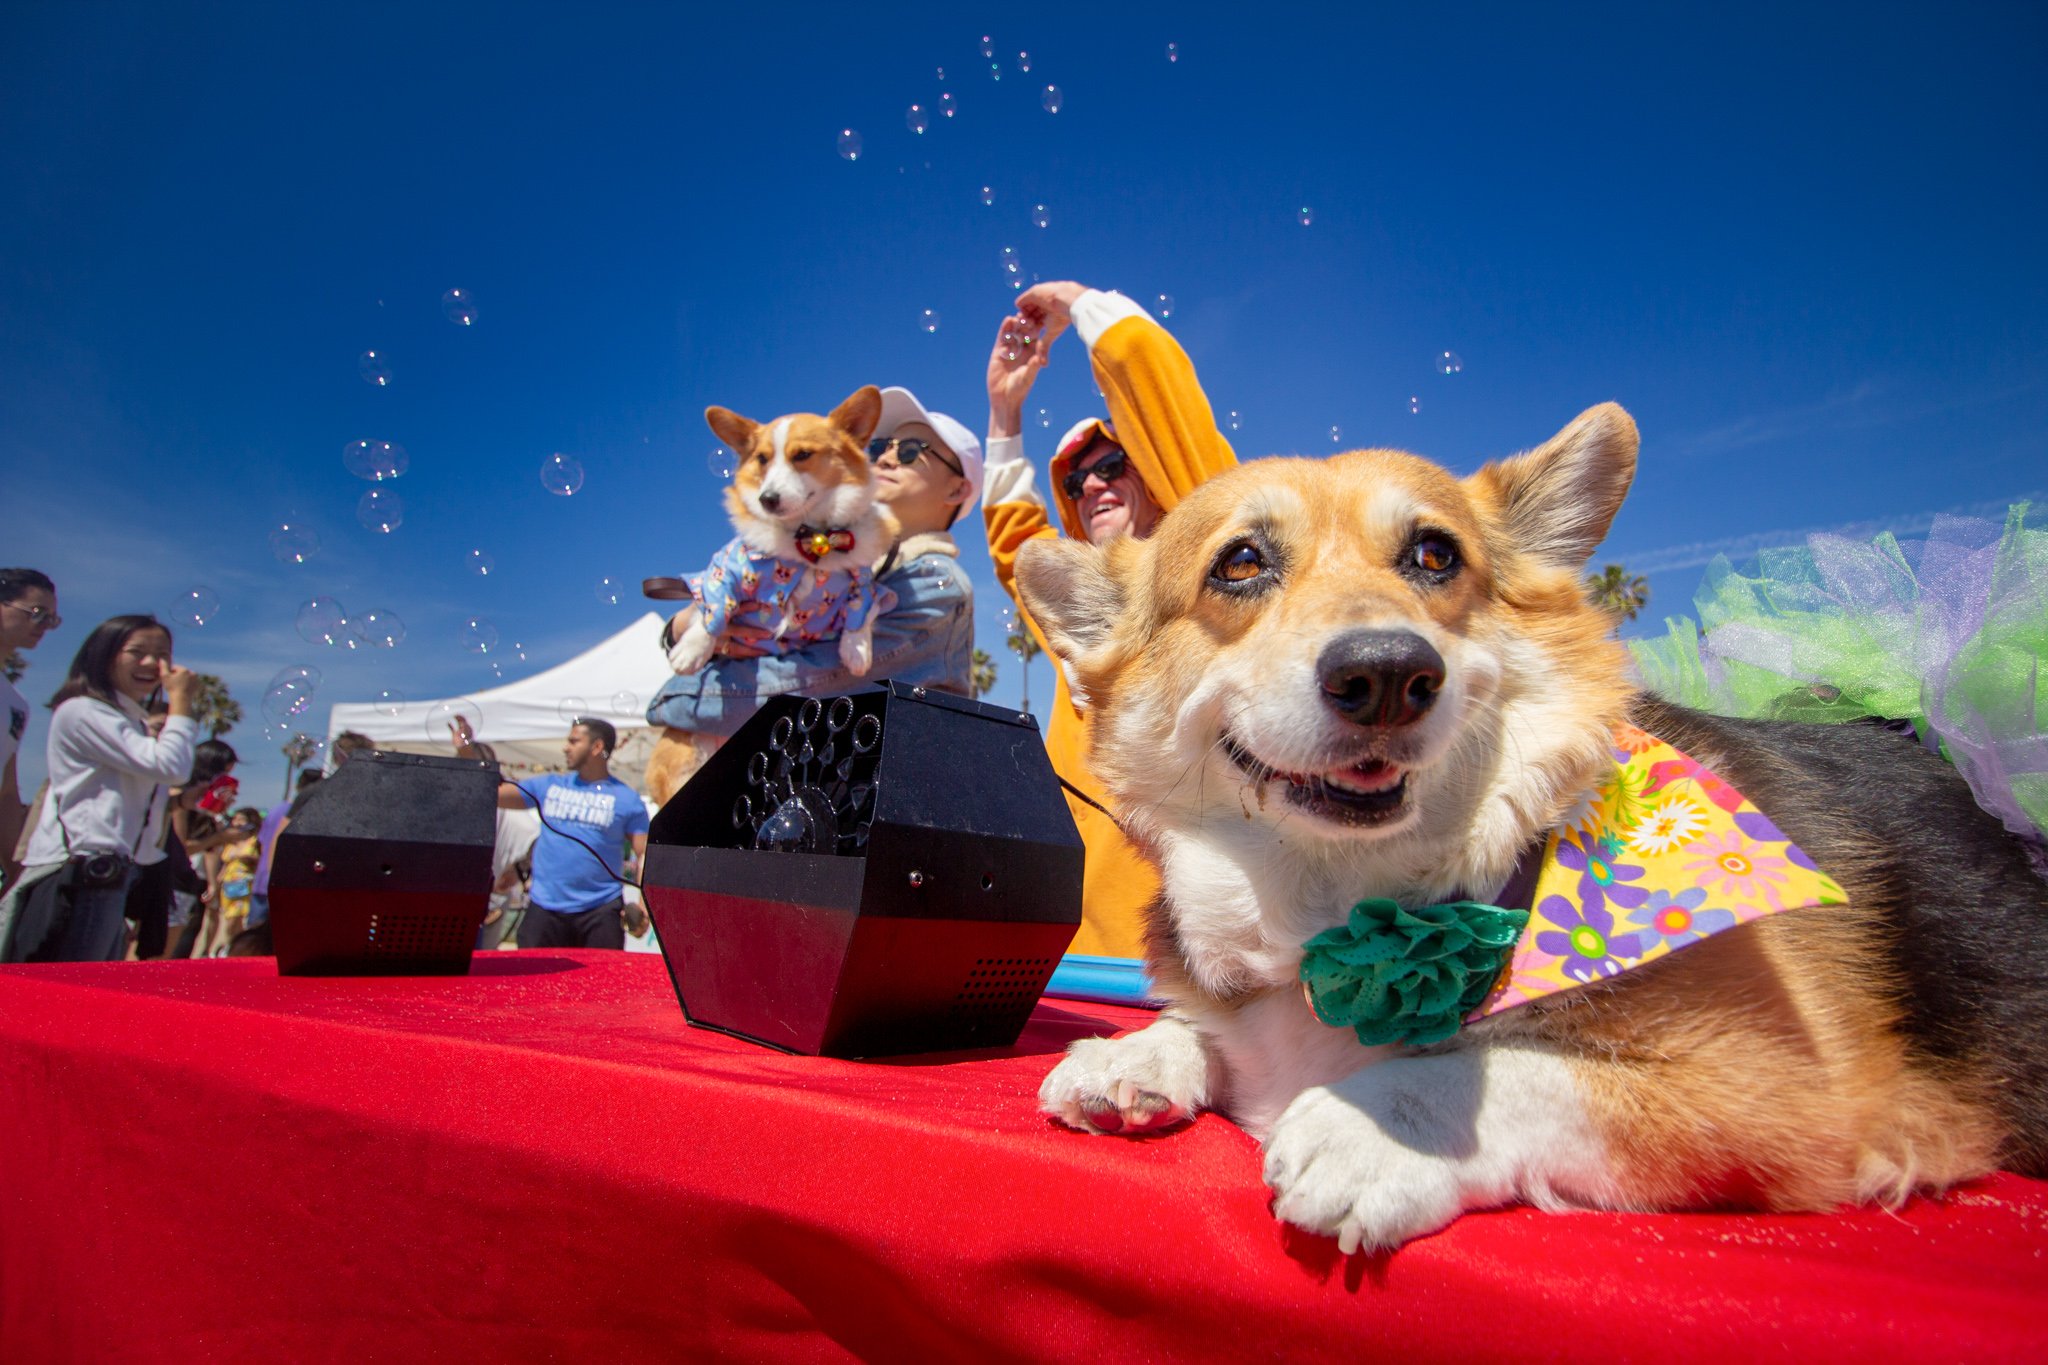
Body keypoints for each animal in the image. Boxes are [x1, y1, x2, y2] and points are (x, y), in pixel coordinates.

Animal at [1011, 409, 2048, 1260]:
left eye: (1434, 555)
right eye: (1240, 563)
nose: (1389, 674)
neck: (1339, 913)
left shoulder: (1798, 1094)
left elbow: (1528, 1070)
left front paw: (1374, 1126)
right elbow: (1211, 1029)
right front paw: (1137, 1054)